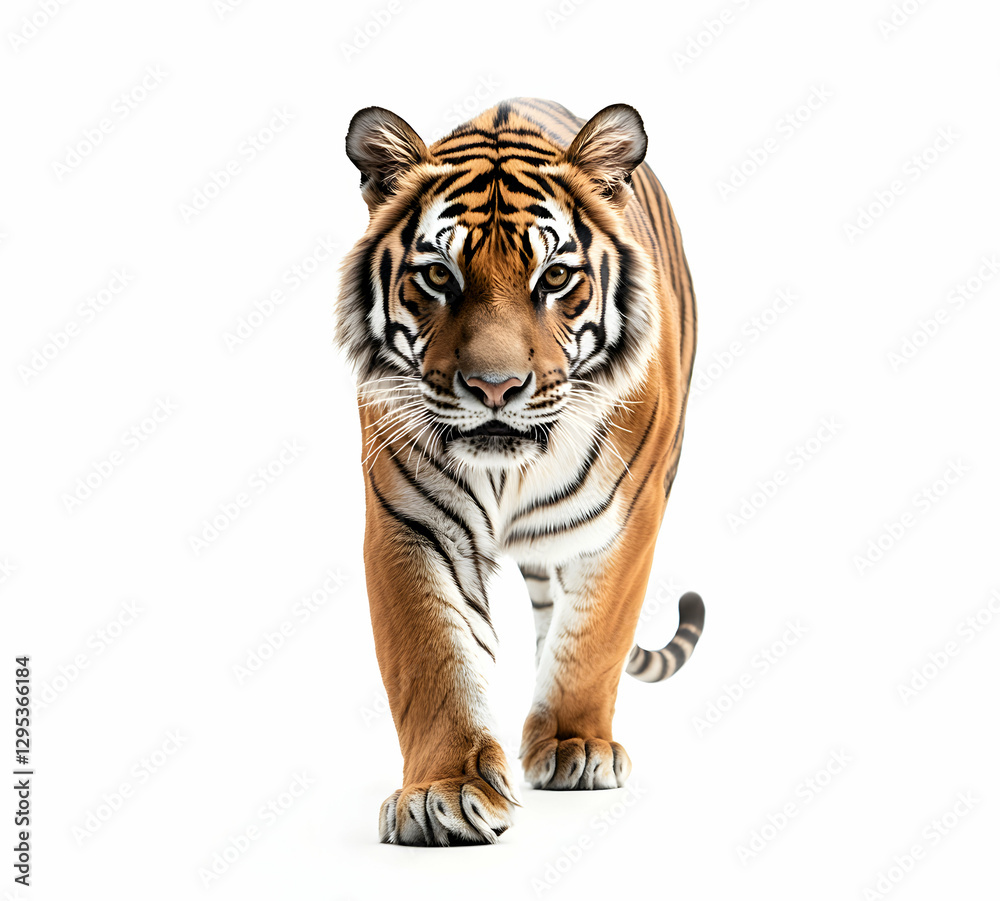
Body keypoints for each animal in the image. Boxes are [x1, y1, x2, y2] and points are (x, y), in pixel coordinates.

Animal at [336, 97, 704, 846]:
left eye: (555, 277)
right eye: (439, 276)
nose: (495, 387)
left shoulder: (628, 519)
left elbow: (594, 638)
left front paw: (574, 745)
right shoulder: (410, 521)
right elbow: (432, 658)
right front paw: (441, 792)